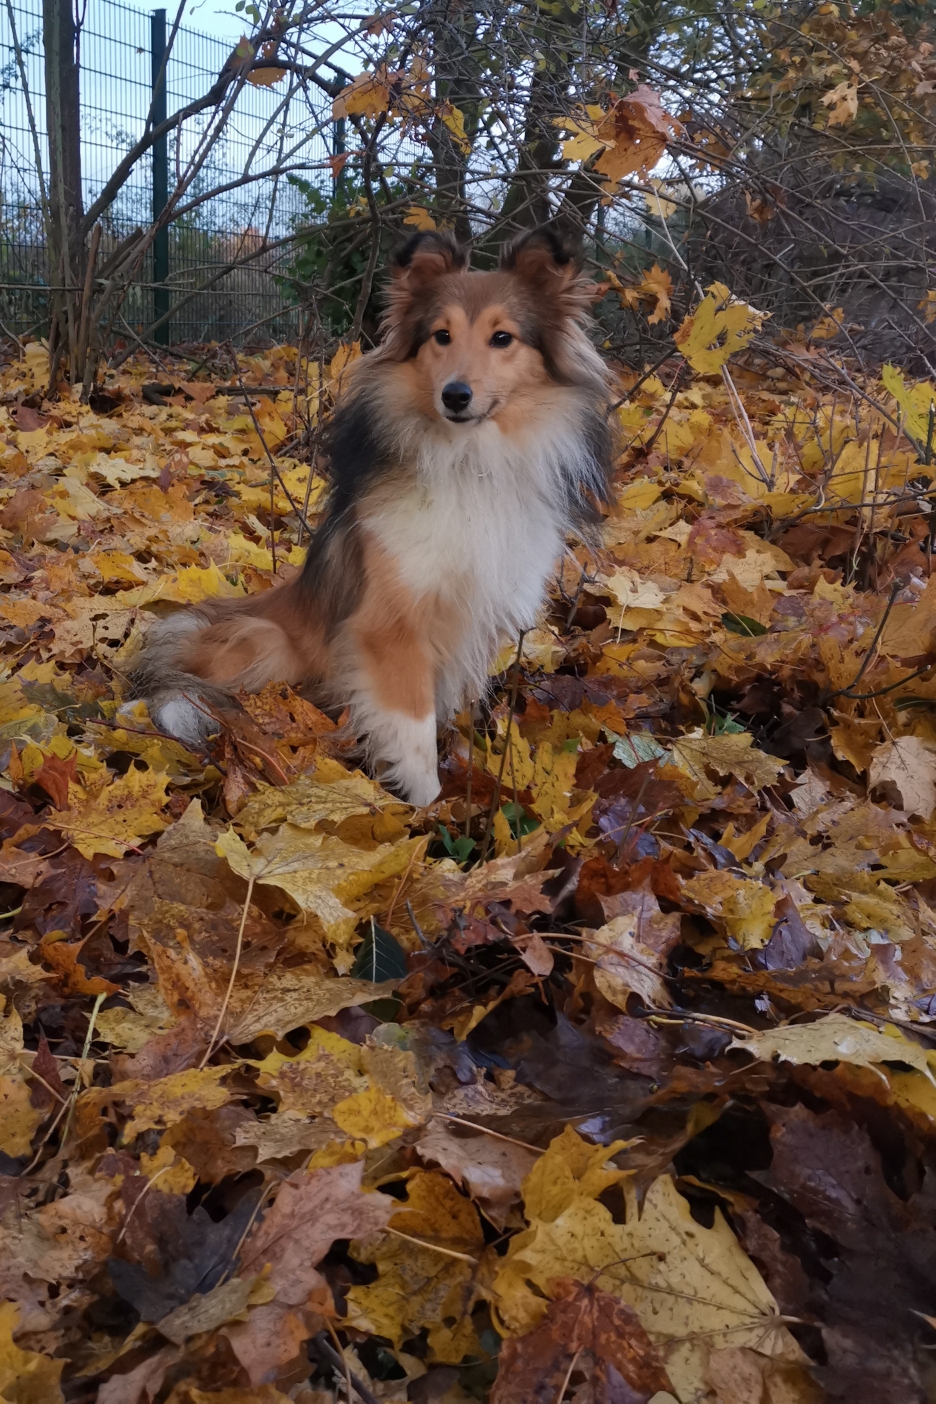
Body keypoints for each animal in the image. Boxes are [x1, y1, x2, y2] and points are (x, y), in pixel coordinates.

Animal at [131, 224, 614, 808]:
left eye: (503, 338)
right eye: (441, 336)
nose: (456, 395)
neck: (468, 461)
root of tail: (191, 623)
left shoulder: (478, 623)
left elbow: (452, 710)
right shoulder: (391, 627)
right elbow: (413, 727)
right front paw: (424, 808)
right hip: (264, 643)